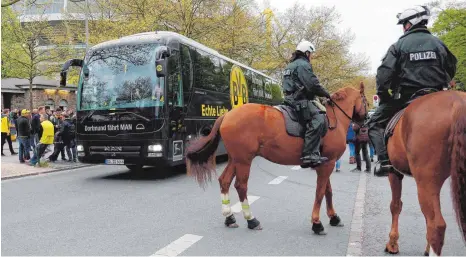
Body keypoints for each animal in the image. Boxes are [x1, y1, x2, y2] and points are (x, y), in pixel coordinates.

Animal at [183, 84, 368, 234]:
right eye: (366, 101)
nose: (365, 122)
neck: (334, 119)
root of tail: (227, 115)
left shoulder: (324, 164)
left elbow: (327, 191)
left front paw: (333, 217)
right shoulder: (327, 164)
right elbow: (320, 192)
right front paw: (317, 223)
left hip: (235, 159)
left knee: (225, 181)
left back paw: (229, 217)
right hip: (244, 161)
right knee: (241, 186)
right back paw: (251, 220)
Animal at [382, 89, 466, 255]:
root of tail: (457, 101)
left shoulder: (394, 172)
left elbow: (395, 205)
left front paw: (392, 243)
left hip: (425, 182)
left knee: (436, 226)